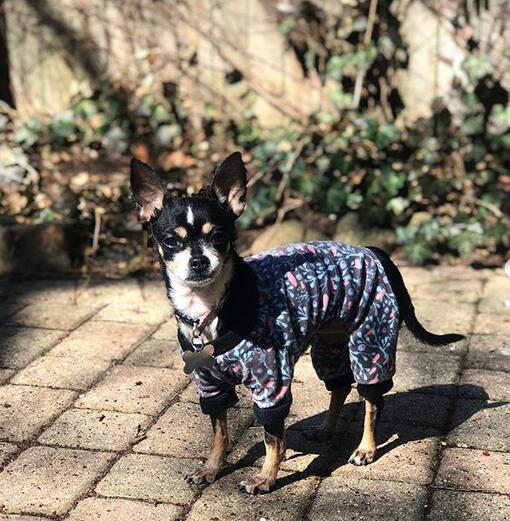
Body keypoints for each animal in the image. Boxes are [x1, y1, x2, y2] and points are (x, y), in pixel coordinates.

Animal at [129, 152, 464, 494]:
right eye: (171, 241)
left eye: (218, 236)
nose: (199, 261)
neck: (209, 309)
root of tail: (372, 251)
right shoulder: (210, 386)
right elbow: (220, 433)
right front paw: (211, 468)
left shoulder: (271, 383)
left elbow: (271, 438)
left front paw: (266, 477)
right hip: (329, 346)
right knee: (340, 385)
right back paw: (326, 429)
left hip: (371, 343)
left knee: (373, 399)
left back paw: (366, 448)